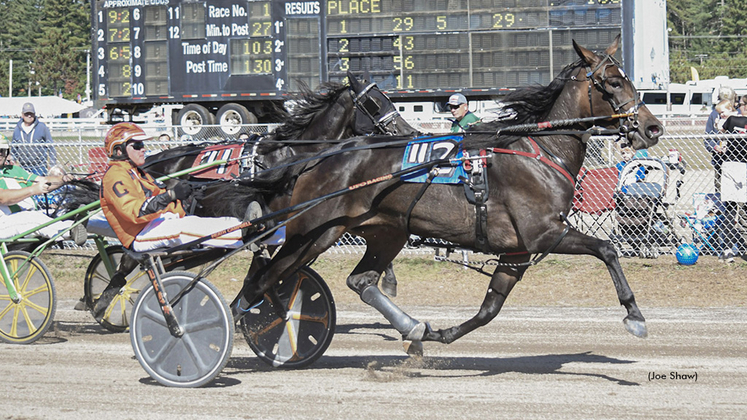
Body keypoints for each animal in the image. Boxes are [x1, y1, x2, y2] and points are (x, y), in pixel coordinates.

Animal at [231, 37, 664, 352]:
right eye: (612, 82)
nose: (652, 127)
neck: (540, 150)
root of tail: (318, 158)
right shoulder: (545, 233)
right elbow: (607, 248)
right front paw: (635, 315)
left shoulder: (516, 251)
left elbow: (490, 308)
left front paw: (438, 335)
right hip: (312, 231)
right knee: (263, 277)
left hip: (385, 232)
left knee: (359, 280)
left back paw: (411, 327)